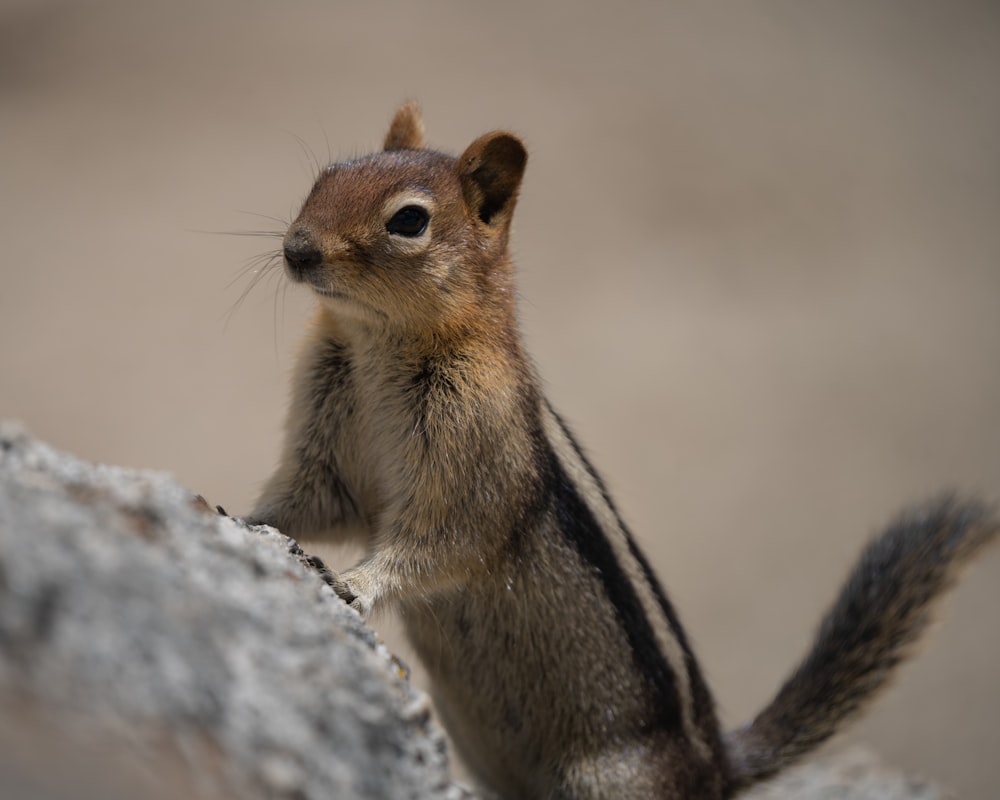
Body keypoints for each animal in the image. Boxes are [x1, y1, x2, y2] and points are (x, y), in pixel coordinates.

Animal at [246, 101, 996, 800]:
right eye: (326, 175)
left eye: (408, 221)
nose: (297, 249)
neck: (376, 342)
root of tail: (717, 766)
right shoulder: (327, 444)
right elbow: (310, 502)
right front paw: (251, 521)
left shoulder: (475, 456)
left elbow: (442, 541)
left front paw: (353, 582)